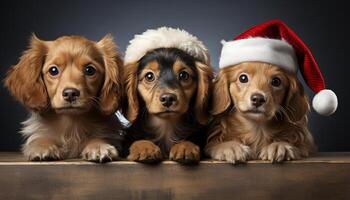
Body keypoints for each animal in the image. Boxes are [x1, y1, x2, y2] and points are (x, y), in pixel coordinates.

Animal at [4, 34, 123, 162]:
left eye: (90, 70)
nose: (70, 93)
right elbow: (40, 138)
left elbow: (98, 138)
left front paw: (98, 146)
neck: (72, 124)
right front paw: (42, 146)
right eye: (53, 70)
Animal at [121, 26, 212, 164]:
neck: (166, 128)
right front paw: (144, 147)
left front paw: (185, 146)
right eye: (149, 76)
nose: (168, 98)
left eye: (184, 75)